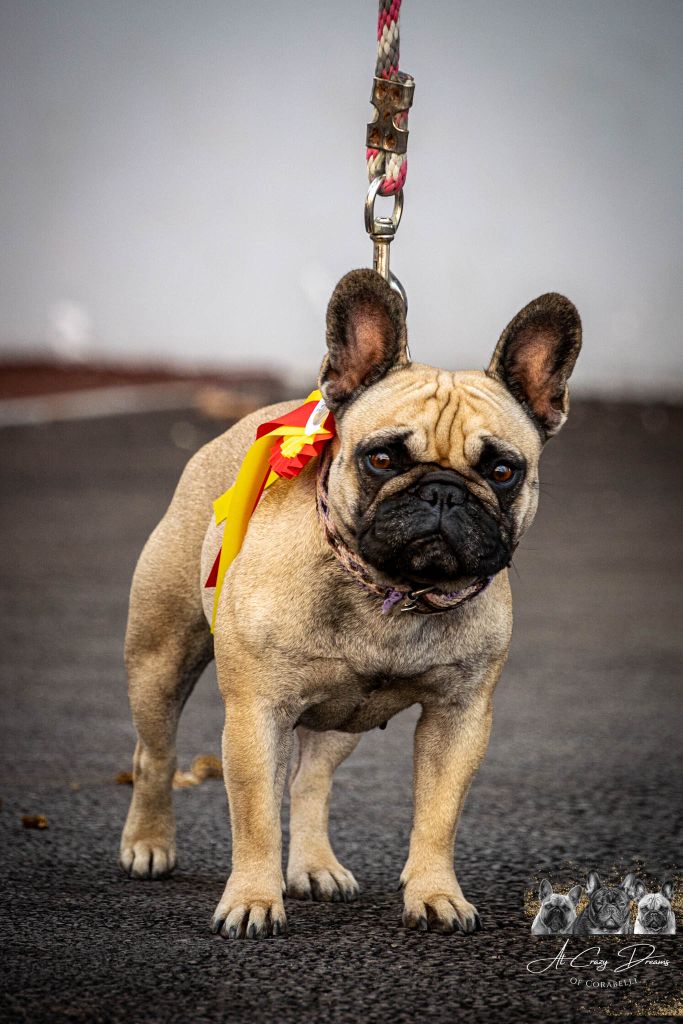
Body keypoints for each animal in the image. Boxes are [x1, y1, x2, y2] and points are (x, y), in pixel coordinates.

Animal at [118, 270, 581, 937]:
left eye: (501, 471)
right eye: (381, 458)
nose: (443, 493)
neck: (391, 590)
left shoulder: (460, 719)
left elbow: (438, 815)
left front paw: (436, 894)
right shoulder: (256, 714)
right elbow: (254, 817)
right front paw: (252, 899)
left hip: (340, 715)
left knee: (311, 781)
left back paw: (314, 866)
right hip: (161, 659)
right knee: (156, 753)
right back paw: (149, 844)